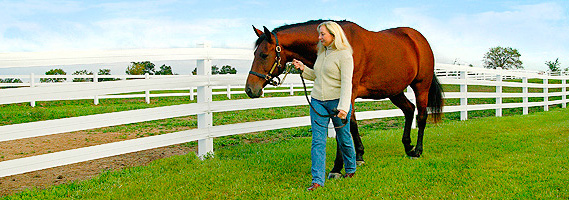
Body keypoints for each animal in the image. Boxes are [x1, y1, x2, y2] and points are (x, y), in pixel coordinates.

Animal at [244, 19, 444, 175]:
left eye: (264, 54)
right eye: (255, 53)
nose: (250, 89)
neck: (341, 46)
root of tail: (418, 38)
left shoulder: (347, 92)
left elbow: (343, 125)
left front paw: (337, 167)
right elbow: (352, 125)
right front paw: (359, 156)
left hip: (421, 86)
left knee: (421, 116)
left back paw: (417, 151)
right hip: (394, 90)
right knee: (409, 110)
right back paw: (407, 146)